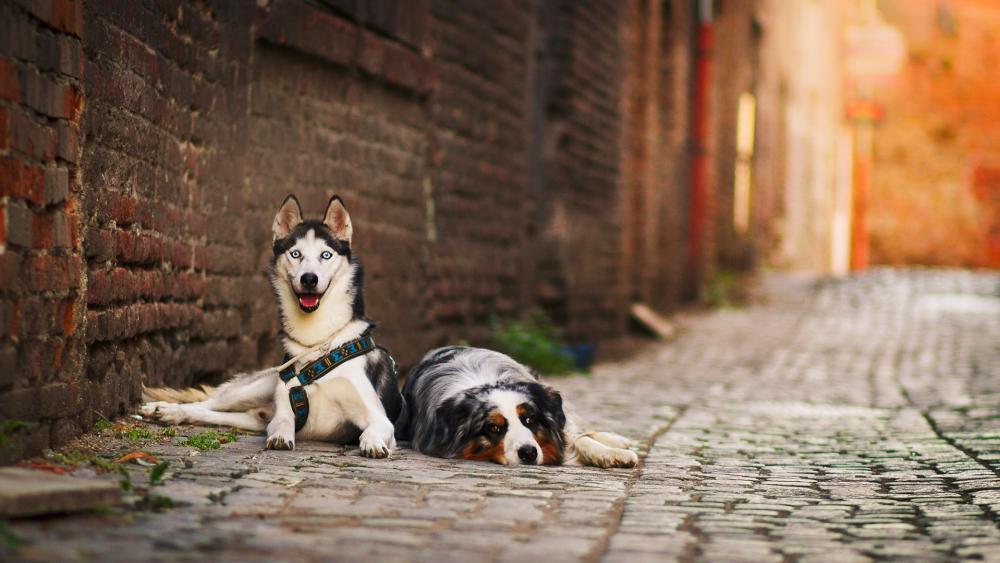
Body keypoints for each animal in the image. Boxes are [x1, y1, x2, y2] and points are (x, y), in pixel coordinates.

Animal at [145, 195, 402, 458]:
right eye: (296, 254)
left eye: (326, 255)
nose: (309, 279)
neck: (317, 342)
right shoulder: (284, 408)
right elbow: (282, 422)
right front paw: (280, 437)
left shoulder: (381, 419)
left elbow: (374, 429)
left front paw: (372, 443)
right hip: (255, 389)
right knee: (209, 403)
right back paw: (165, 409)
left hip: (250, 417)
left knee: (213, 413)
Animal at [394, 346, 636, 470]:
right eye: (493, 427)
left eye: (529, 420)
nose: (529, 453)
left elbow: (579, 439)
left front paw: (612, 453)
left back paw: (618, 440)